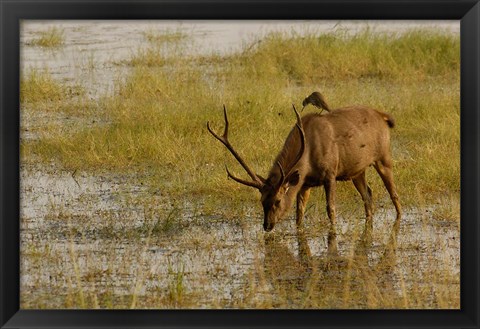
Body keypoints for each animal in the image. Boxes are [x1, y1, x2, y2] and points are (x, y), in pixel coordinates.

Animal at [206, 101, 402, 232]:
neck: (308, 155)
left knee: (394, 194)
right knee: (368, 194)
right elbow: (299, 214)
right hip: (357, 170)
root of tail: (383, 116)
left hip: (383, 156)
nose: (267, 225)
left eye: (277, 200)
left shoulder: (330, 173)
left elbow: (331, 209)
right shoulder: (305, 182)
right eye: (261, 201)